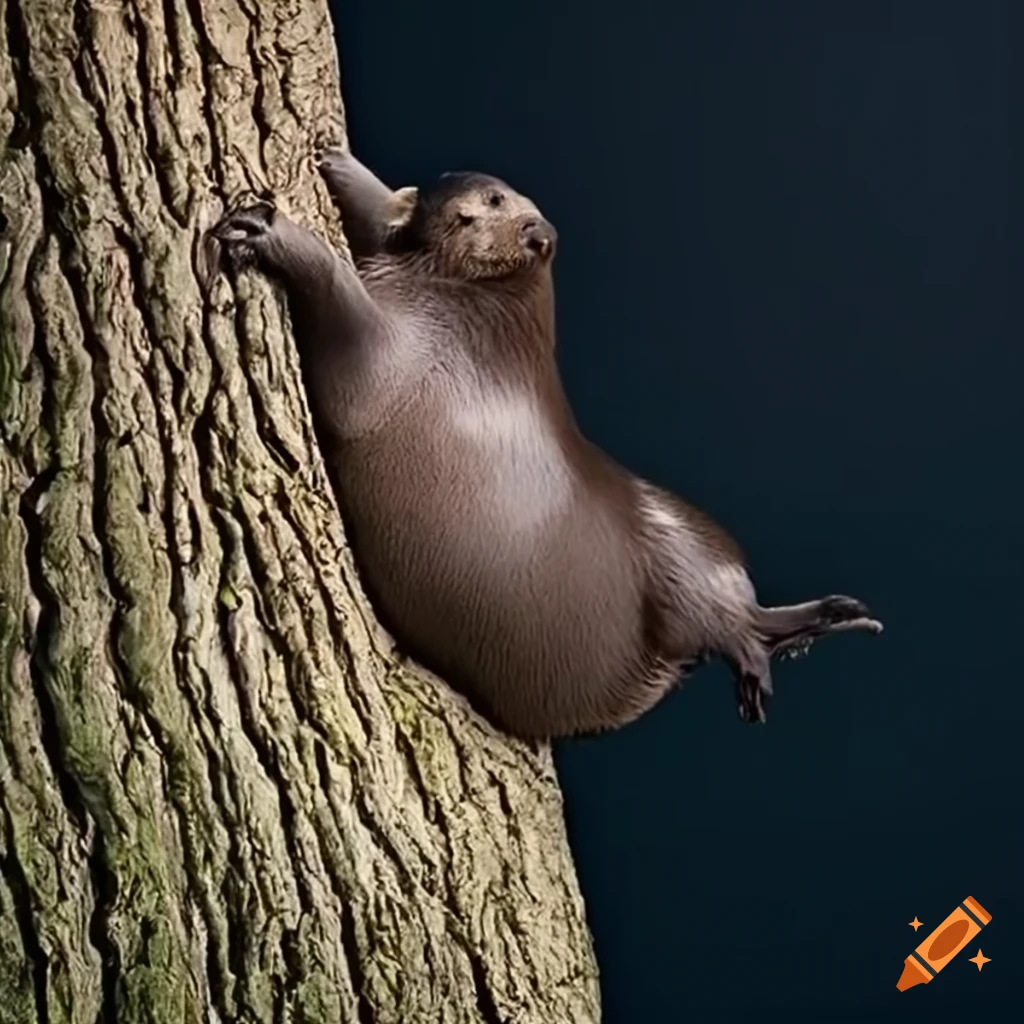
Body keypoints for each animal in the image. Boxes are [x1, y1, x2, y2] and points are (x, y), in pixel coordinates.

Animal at [203, 147, 882, 740]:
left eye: (495, 199)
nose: (454, 179)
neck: (493, 313)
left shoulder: (419, 350)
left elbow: (351, 338)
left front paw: (262, 228)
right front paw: (343, 166)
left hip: (690, 584)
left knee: (732, 628)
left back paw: (769, 666)